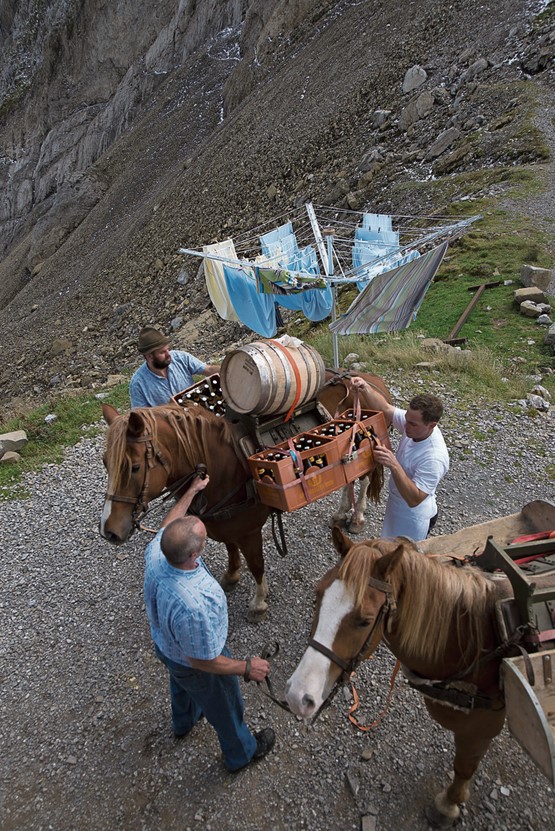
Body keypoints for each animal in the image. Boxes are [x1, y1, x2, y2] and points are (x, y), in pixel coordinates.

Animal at [99, 372, 390, 624]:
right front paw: (231, 575)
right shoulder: (225, 524)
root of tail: (365, 378)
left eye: (135, 467)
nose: (109, 530)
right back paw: (340, 513)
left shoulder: (250, 530)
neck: (223, 466)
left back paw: (357, 518)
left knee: (363, 479)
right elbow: (230, 548)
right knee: (348, 480)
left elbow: (256, 564)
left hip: (364, 451)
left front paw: (258, 603)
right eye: (105, 462)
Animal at [286, 528, 555, 824]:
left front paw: (448, 804)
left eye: (365, 621)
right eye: (317, 595)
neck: (476, 638)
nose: (298, 695)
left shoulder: (482, 724)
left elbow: (464, 766)